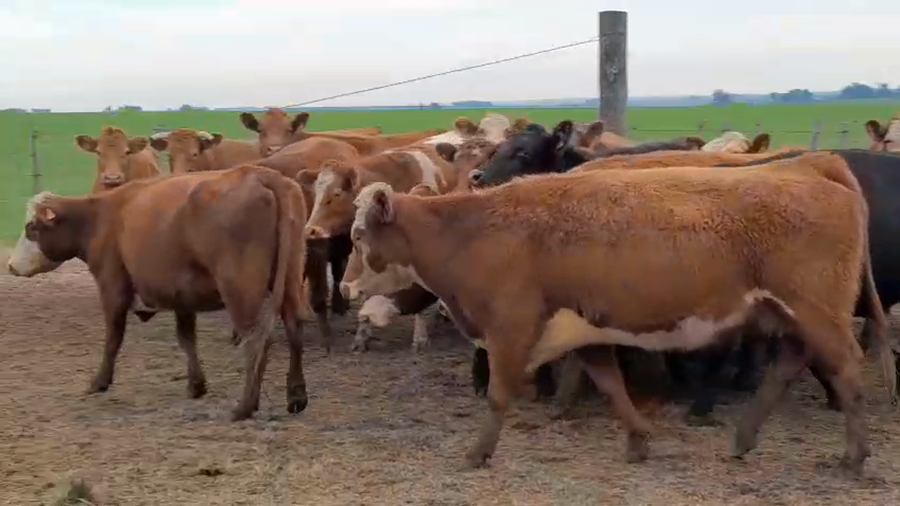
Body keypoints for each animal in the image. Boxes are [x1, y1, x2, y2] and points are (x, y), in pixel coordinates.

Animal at [6, 165, 313, 421]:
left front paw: (99, 381)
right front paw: (196, 385)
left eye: (31, 228)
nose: (10, 265)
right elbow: (186, 338)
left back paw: (245, 407)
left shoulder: (112, 285)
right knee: (295, 329)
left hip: (239, 290)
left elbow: (113, 338)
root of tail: (259, 174)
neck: (101, 217)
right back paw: (296, 396)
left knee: (256, 340)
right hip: (290, 278)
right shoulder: (182, 295)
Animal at [344, 151, 896, 474]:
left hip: (818, 312)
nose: (346, 288)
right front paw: (638, 440)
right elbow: (610, 384)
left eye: (357, 235)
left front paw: (478, 453)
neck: (474, 229)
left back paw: (853, 456)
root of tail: (808, 166)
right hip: (792, 315)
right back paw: (743, 440)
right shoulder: (584, 332)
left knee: (845, 372)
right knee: (788, 364)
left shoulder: (510, 329)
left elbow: (500, 395)